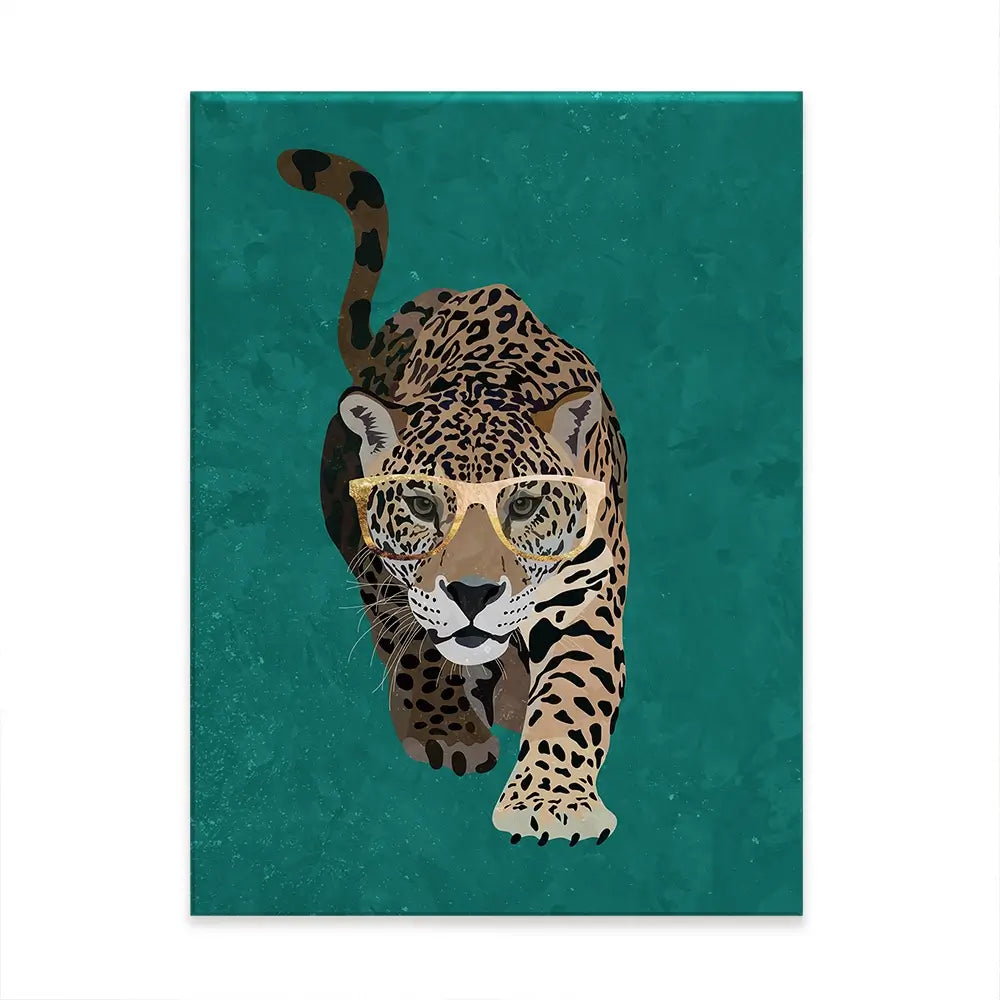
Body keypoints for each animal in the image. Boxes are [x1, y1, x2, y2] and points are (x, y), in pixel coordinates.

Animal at [277, 148, 629, 845]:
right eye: (421, 504)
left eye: (522, 505)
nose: (472, 595)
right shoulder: (384, 567)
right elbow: (416, 643)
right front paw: (448, 730)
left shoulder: (587, 591)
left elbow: (575, 692)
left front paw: (551, 802)